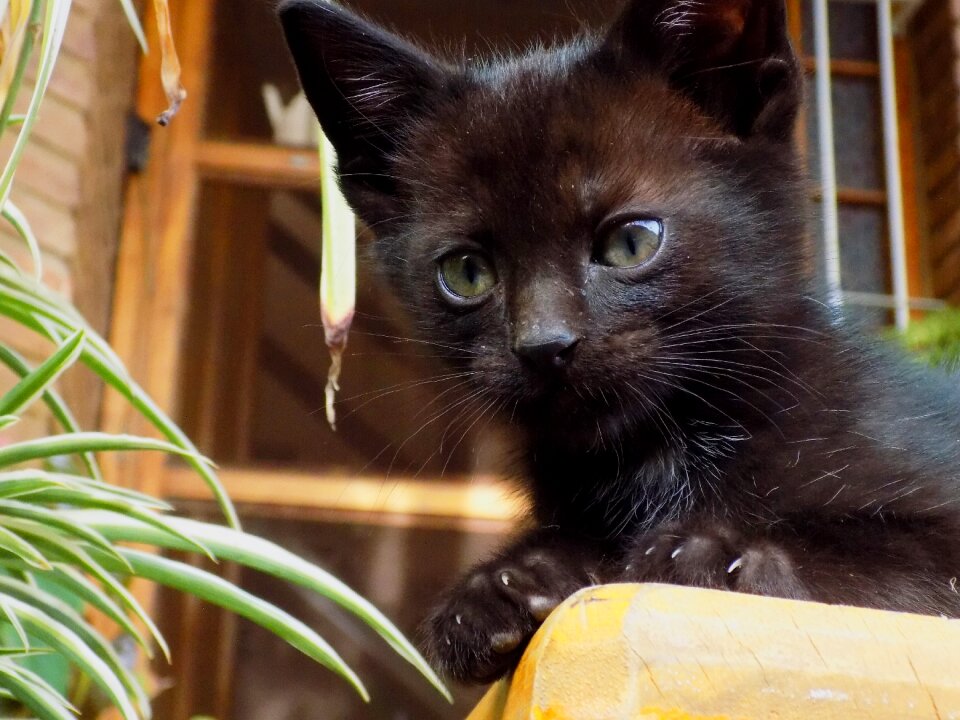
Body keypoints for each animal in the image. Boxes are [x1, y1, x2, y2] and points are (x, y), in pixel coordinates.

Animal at [282, 0, 960, 688]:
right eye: (467, 272)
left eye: (631, 242)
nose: (544, 344)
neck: (659, 453)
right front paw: (506, 583)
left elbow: (895, 557)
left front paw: (721, 555)